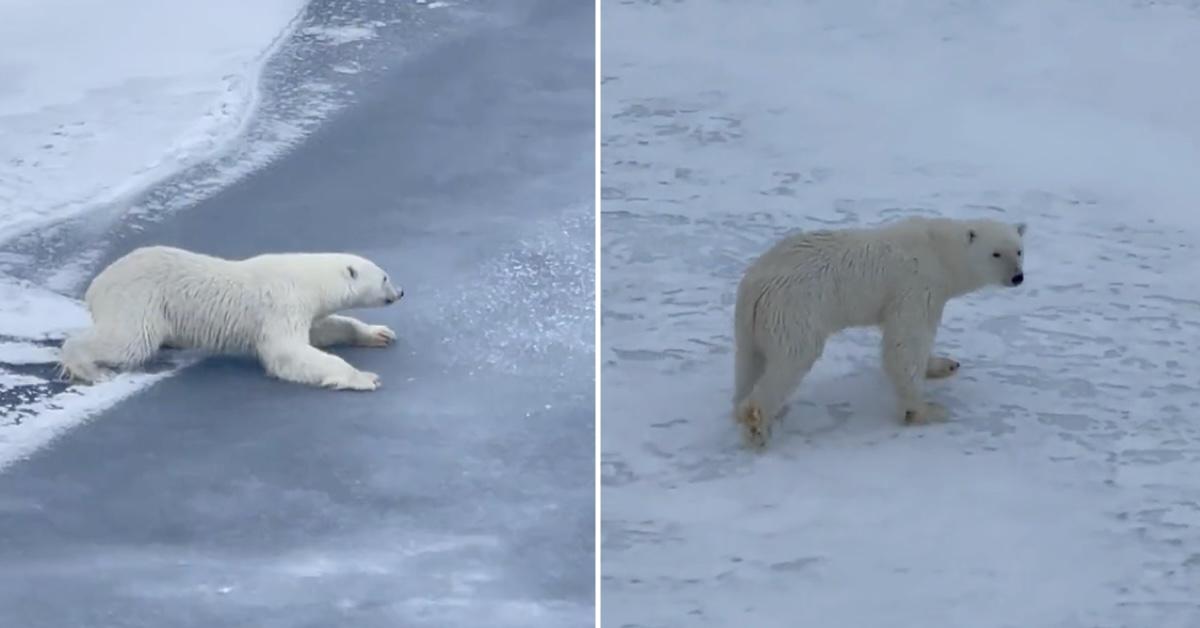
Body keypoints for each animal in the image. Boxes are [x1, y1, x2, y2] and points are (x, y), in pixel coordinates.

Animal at [58, 244, 405, 389]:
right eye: (385, 277)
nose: (401, 292)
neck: (307, 279)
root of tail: (95, 286)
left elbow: (322, 329)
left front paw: (379, 333)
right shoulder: (281, 305)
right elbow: (288, 353)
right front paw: (365, 377)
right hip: (138, 299)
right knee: (129, 341)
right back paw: (90, 369)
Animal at [734, 218, 1027, 449]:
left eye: (1019, 250)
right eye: (996, 254)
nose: (1018, 277)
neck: (939, 251)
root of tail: (754, 286)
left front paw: (943, 364)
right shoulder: (916, 285)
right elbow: (907, 340)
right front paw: (924, 410)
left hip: (753, 324)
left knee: (750, 363)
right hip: (796, 310)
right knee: (793, 358)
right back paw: (757, 425)